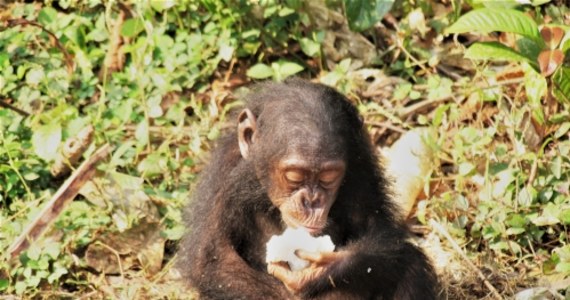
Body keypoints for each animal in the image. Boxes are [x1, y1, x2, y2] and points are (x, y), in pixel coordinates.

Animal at [175, 78, 438, 298]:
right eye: (294, 176)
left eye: (328, 177)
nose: (311, 201)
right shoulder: (224, 174)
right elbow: (215, 259)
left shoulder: (360, 168)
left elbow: (378, 230)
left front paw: (322, 270)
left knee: (410, 265)